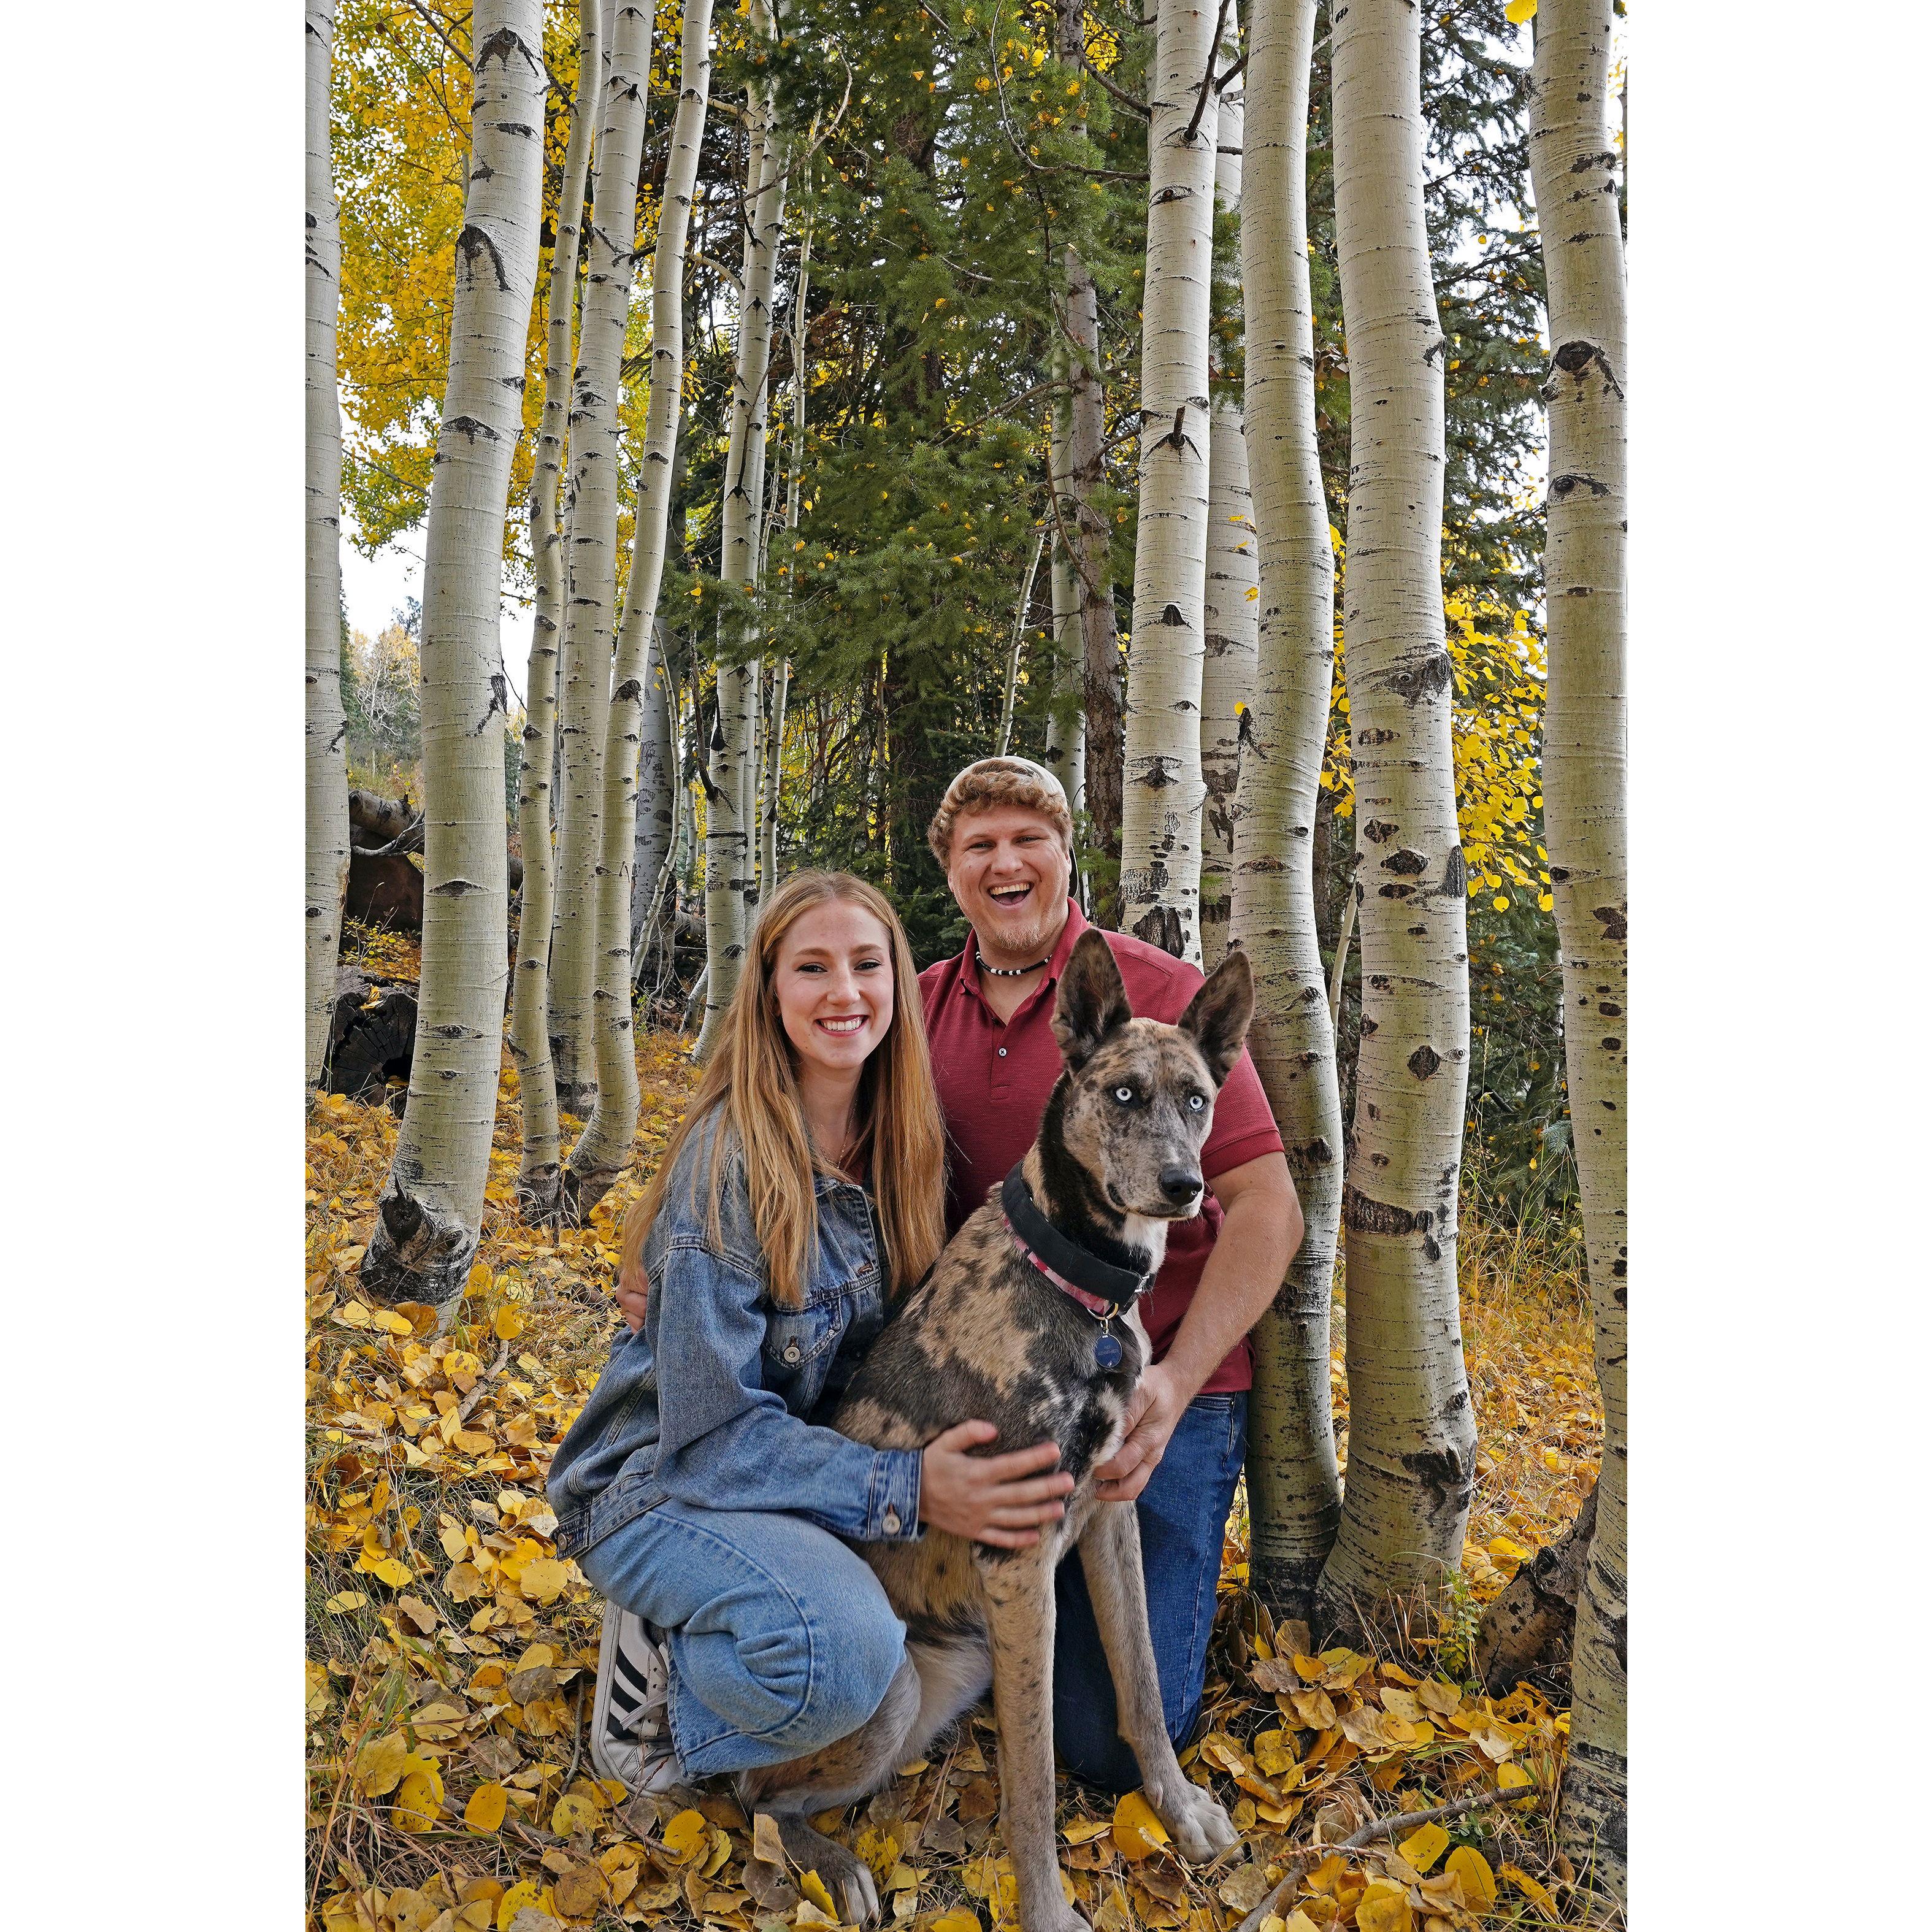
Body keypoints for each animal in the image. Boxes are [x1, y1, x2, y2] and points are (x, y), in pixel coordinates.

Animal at [738, 928, 1253, 1932]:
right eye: (1122, 1094)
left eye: (1197, 1099)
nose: (1183, 1187)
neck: (1077, 1283)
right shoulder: (1019, 1560)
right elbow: (1031, 1784)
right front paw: (1048, 1912)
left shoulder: (1109, 1513)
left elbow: (1140, 1683)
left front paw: (1178, 1809)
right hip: (894, 1692)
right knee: (753, 1801)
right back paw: (838, 1869)